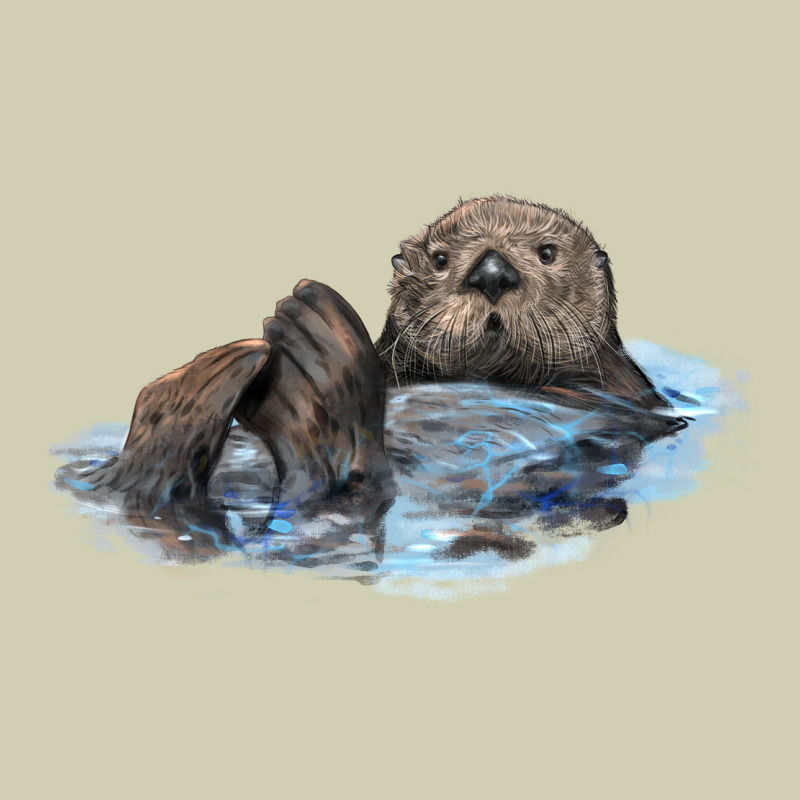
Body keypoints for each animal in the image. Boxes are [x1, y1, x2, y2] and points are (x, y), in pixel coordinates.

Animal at [79, 196, 674, 509]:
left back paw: (305, 348)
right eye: (440, 259)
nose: (492, 274)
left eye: (546, 253)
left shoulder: (623, 391)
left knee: (341, 476)